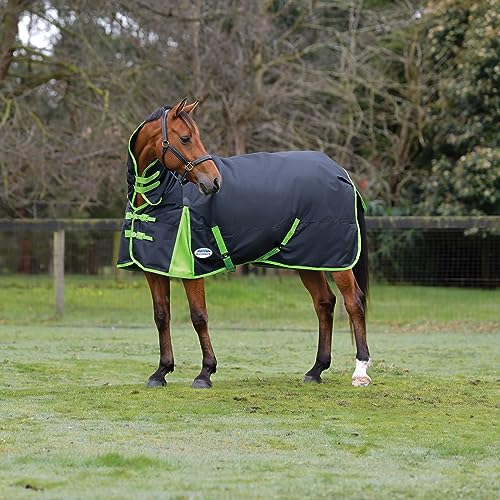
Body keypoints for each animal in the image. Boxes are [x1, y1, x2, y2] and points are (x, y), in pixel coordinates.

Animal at [115, 96, 370, 386]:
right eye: (186, 138)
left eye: (194, 136)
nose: (214, 181)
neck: (163, 195)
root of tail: (340, 172)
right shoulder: (154, 268)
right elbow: (161, 317)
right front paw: (161, 372)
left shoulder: (193, 266)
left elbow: (198, 316)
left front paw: (205, 372)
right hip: (309, 259)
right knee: (324, 303)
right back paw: (316, 369)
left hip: (338, 261)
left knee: (354, 302)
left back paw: (360, 371)